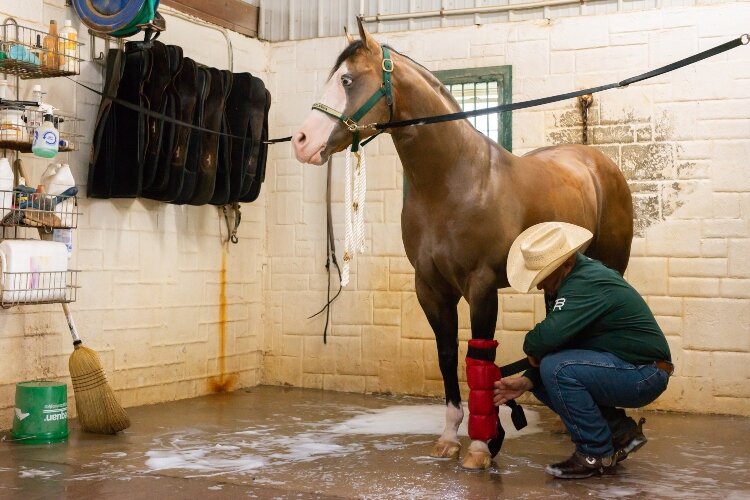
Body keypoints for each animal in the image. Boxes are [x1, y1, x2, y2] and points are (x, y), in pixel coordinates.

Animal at [294, 19, 636, 470]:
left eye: (347, 80)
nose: (301, 142)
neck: (453, 181)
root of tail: (598, 162)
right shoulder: (431, 288)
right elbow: (446, 356)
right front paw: (448, 439)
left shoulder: (481, 285)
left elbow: (480, 358)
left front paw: (480, 447)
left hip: (609, 267)